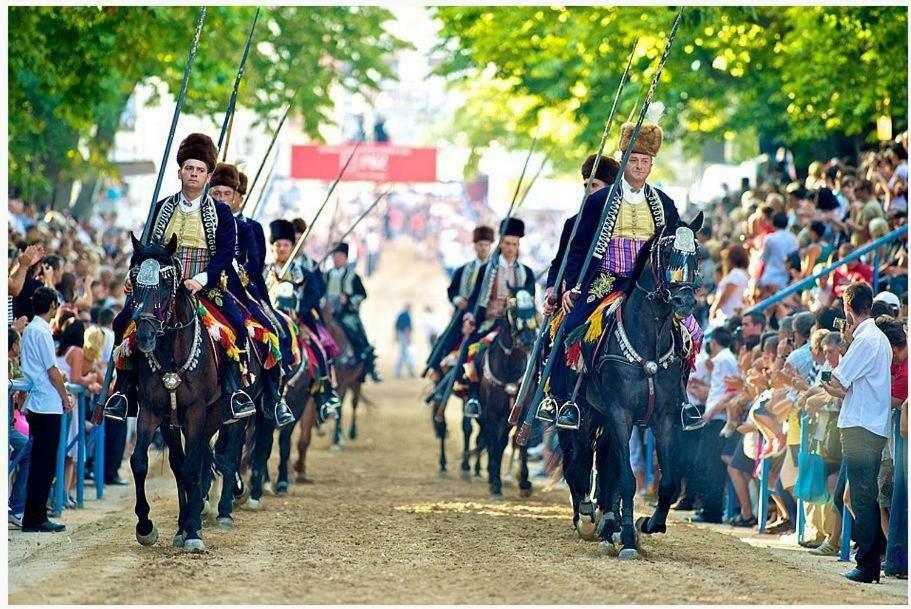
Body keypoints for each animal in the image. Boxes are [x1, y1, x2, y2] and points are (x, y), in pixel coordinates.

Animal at [124, 234, 223, 552]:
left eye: (167, 283)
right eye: (134, 280)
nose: (144, 336)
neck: (170, 356)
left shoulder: (196, 412)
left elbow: (192, 467)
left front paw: (193, 533)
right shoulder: (153, 411)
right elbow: (140, 462)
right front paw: (145, 526)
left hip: (213, 417)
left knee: (198, 460)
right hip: (171, 423)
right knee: (180, 464)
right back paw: (183, 524)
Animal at [478, 288, 540, 496]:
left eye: (533, 308)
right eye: (513, 310)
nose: (528, 340)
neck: (509, 366)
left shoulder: (521, 410)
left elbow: (521, 441)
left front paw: (525, 481)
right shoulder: (493, 412)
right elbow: (496, 442)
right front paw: (496, 482)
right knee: (486, 438)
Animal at [568, 211, 704, 560]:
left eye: (696, 255)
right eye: (667, 253)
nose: (684, 301)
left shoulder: (664, 418)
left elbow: (667, 482)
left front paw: (648, 524)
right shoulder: (620, 413)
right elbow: (627, 479)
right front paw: (627, 537)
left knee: (608, 463)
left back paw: (610, 524)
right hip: (590, 412)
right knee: (586, 455)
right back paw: (596, 520)